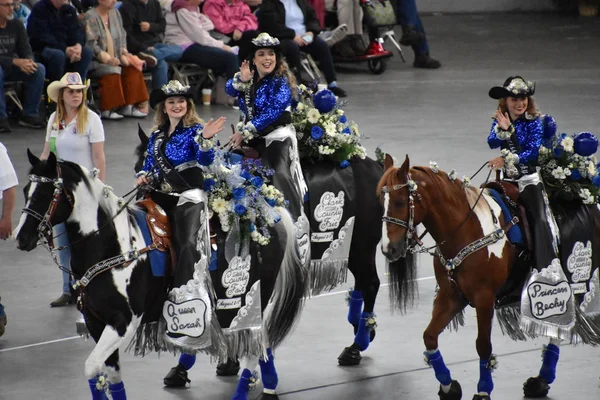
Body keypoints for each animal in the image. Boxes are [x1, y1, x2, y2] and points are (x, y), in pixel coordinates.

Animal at [16, 151, 308, 400]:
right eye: (25, 191)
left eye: (45, 194)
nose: (21, 238)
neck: (112, 246)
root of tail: (272, 214)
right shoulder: (95, 320)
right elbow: (106, 374)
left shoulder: (124, 322)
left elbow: (91, 366)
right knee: (258, 343)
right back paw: (268, 383)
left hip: (255, 298)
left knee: (253, 347)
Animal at [133, 130, 384, 368]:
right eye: (138, 168)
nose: (148, 200)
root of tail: (375, 166)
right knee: (362, 284)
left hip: (362, 244)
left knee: (371, 283)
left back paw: (356, 346)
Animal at [380, 155, 600, 400]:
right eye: (381, 198)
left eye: (400, 201)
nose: (389, 249)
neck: (466, 229)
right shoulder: (451, 296)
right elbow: (429, 336)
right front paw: (448, 386)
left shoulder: (484, 298)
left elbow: (483, 345)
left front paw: (483, 390)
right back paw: (540, 382)